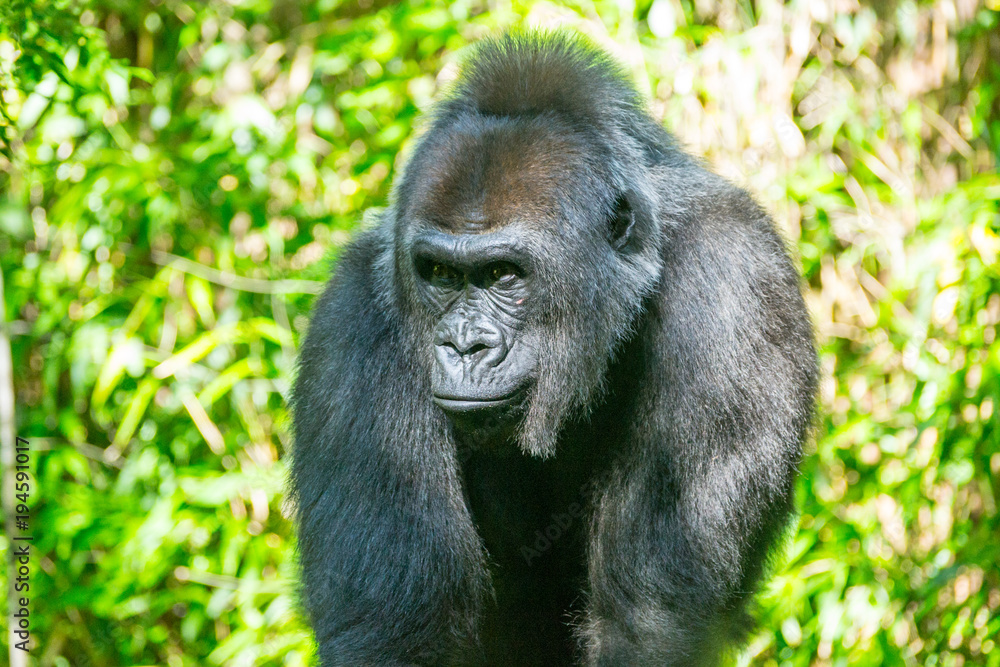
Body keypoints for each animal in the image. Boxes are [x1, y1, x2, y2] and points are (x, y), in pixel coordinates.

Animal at [292, 28, 820, 664]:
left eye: (503, 275)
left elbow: (648, 622)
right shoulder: (350, 323)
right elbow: (392, 632)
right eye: (440, 274)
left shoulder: (733, 277)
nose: (464, 345)